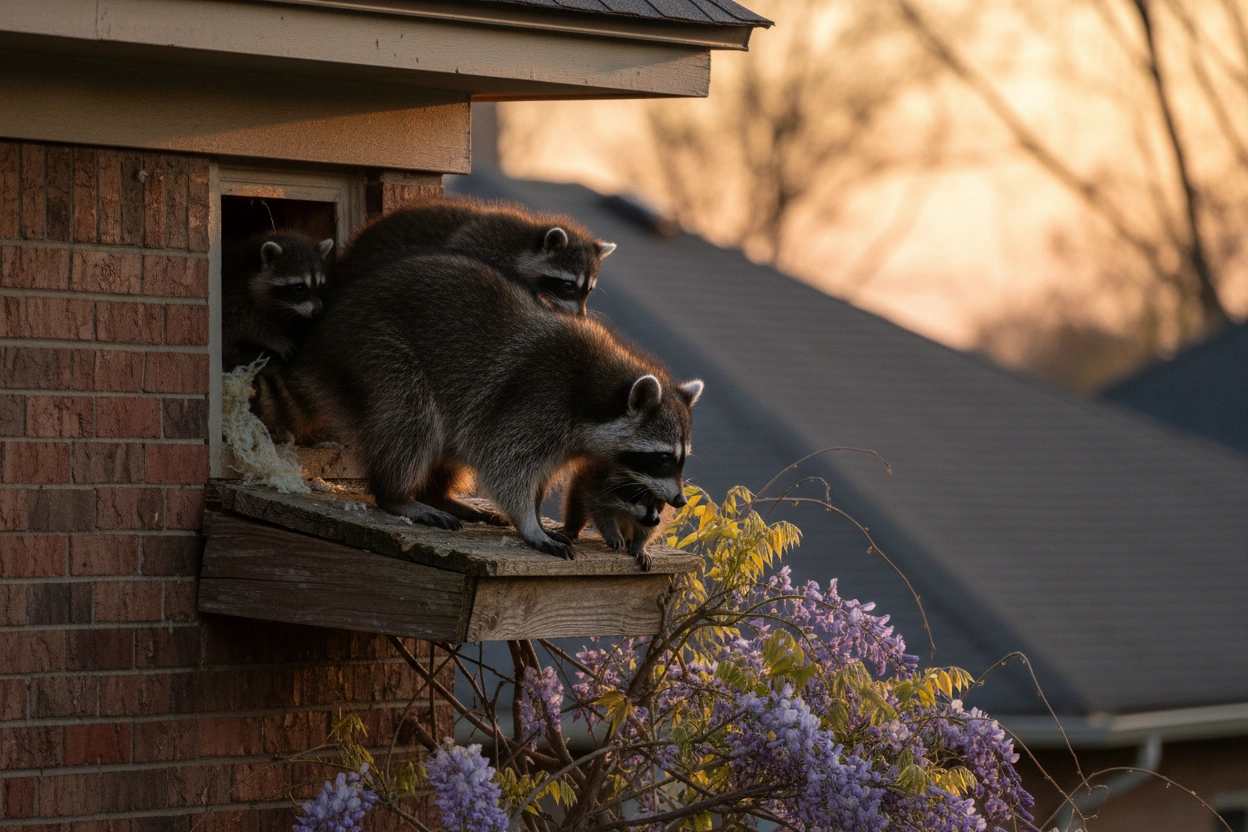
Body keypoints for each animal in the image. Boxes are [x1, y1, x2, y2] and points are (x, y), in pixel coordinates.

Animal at [221, 233, 334, 369]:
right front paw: (276, 340)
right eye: (299, 288)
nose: (317, 312)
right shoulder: (235, 300)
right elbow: (250, 326)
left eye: (319, 286)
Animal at [286, 251, 701, 558]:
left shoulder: (560, 436)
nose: (679, 500)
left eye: (681, 458)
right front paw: (529, 523)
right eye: (664, 458)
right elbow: (506, 466)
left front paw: (537, 515)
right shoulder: (536, 402)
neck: (593, 390)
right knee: (414, 417)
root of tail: (319, 342)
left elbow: (538, 476)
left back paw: (439, 494)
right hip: (375, 346)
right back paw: (397, 494)